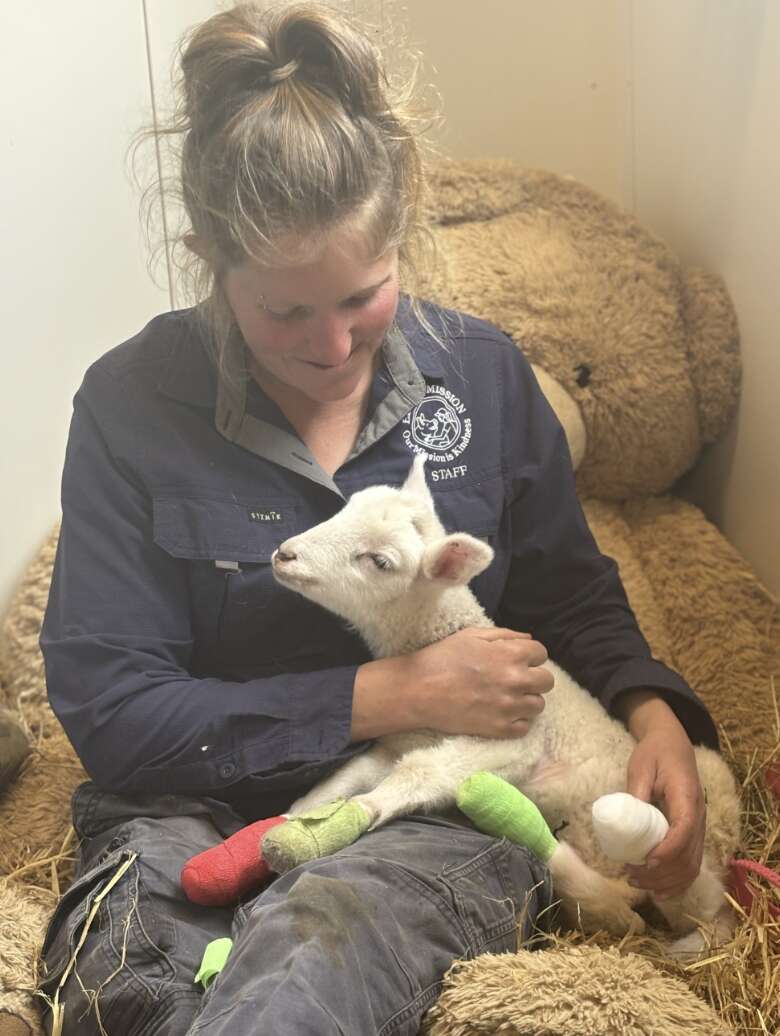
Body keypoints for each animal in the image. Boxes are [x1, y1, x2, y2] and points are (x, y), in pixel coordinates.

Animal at [267, 459, 737, 948]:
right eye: (349, 506)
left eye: (379, 561)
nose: (284, 554)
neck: (438, 636)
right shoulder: (399, 740)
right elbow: (352, 771)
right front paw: (299, 812)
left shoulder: (515, 739)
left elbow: (421, 770)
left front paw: (368, 808)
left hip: (683, 851)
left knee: (703, 909)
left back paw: (687, 940)